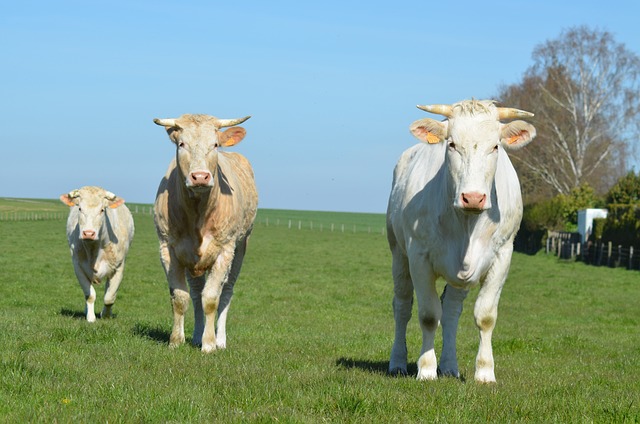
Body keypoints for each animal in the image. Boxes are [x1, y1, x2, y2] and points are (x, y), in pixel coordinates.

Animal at [60, 186, 135, 322]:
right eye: (80, 208)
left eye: (102, 210)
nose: (88, 233)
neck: (93, 249)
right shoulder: (78, 267)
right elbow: (89, 295)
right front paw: (90, 317)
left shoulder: (119, 267)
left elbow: (109, 297)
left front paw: (105, 315)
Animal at [152, 114, 258, 352]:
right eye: (181, 144)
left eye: (215, 144)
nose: (200, 176)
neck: (197, 212)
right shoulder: (168, 249)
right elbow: (180, 297)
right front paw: (176, 341)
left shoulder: (225, 250)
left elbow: (211, 299)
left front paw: (209, 344)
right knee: (196, 292)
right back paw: (197, 335)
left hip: (241, 247)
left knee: (226, 291)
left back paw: (220, 340)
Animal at [388, 100, 536, 384]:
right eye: (452, 144)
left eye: (496, 146)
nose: (473, 197)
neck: (467, 223)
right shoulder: (419, 256)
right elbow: (428, 315)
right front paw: (426, 369)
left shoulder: (503, 255)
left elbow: (485, 316)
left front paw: (485, 372)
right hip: (398, 253)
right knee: (402, 305)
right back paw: (398, 362)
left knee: (452, 311)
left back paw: (449, 366)